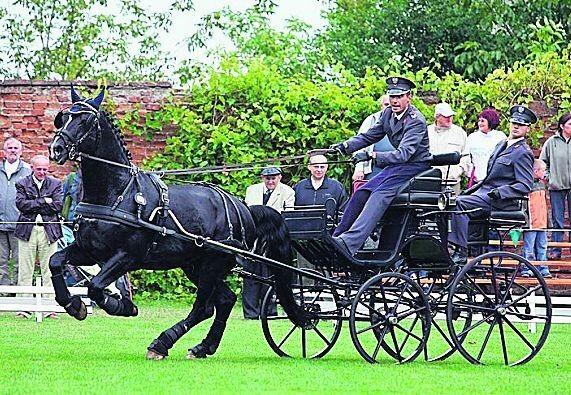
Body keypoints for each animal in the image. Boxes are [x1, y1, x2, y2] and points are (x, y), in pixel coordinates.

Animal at [50, 88, 304, 360]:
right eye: (63, 118)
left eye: (85, 120)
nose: (56, 148)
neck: (118, 192)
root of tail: (244, 207)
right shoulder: (89, 251)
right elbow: (55, 261)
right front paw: (73, 304)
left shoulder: (126, 256)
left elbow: (96, 286)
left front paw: (122, 306)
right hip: (195, 264)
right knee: (224, 301)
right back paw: (203, 346)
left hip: (213, 263)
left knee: (204, 307)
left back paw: (161, 343)